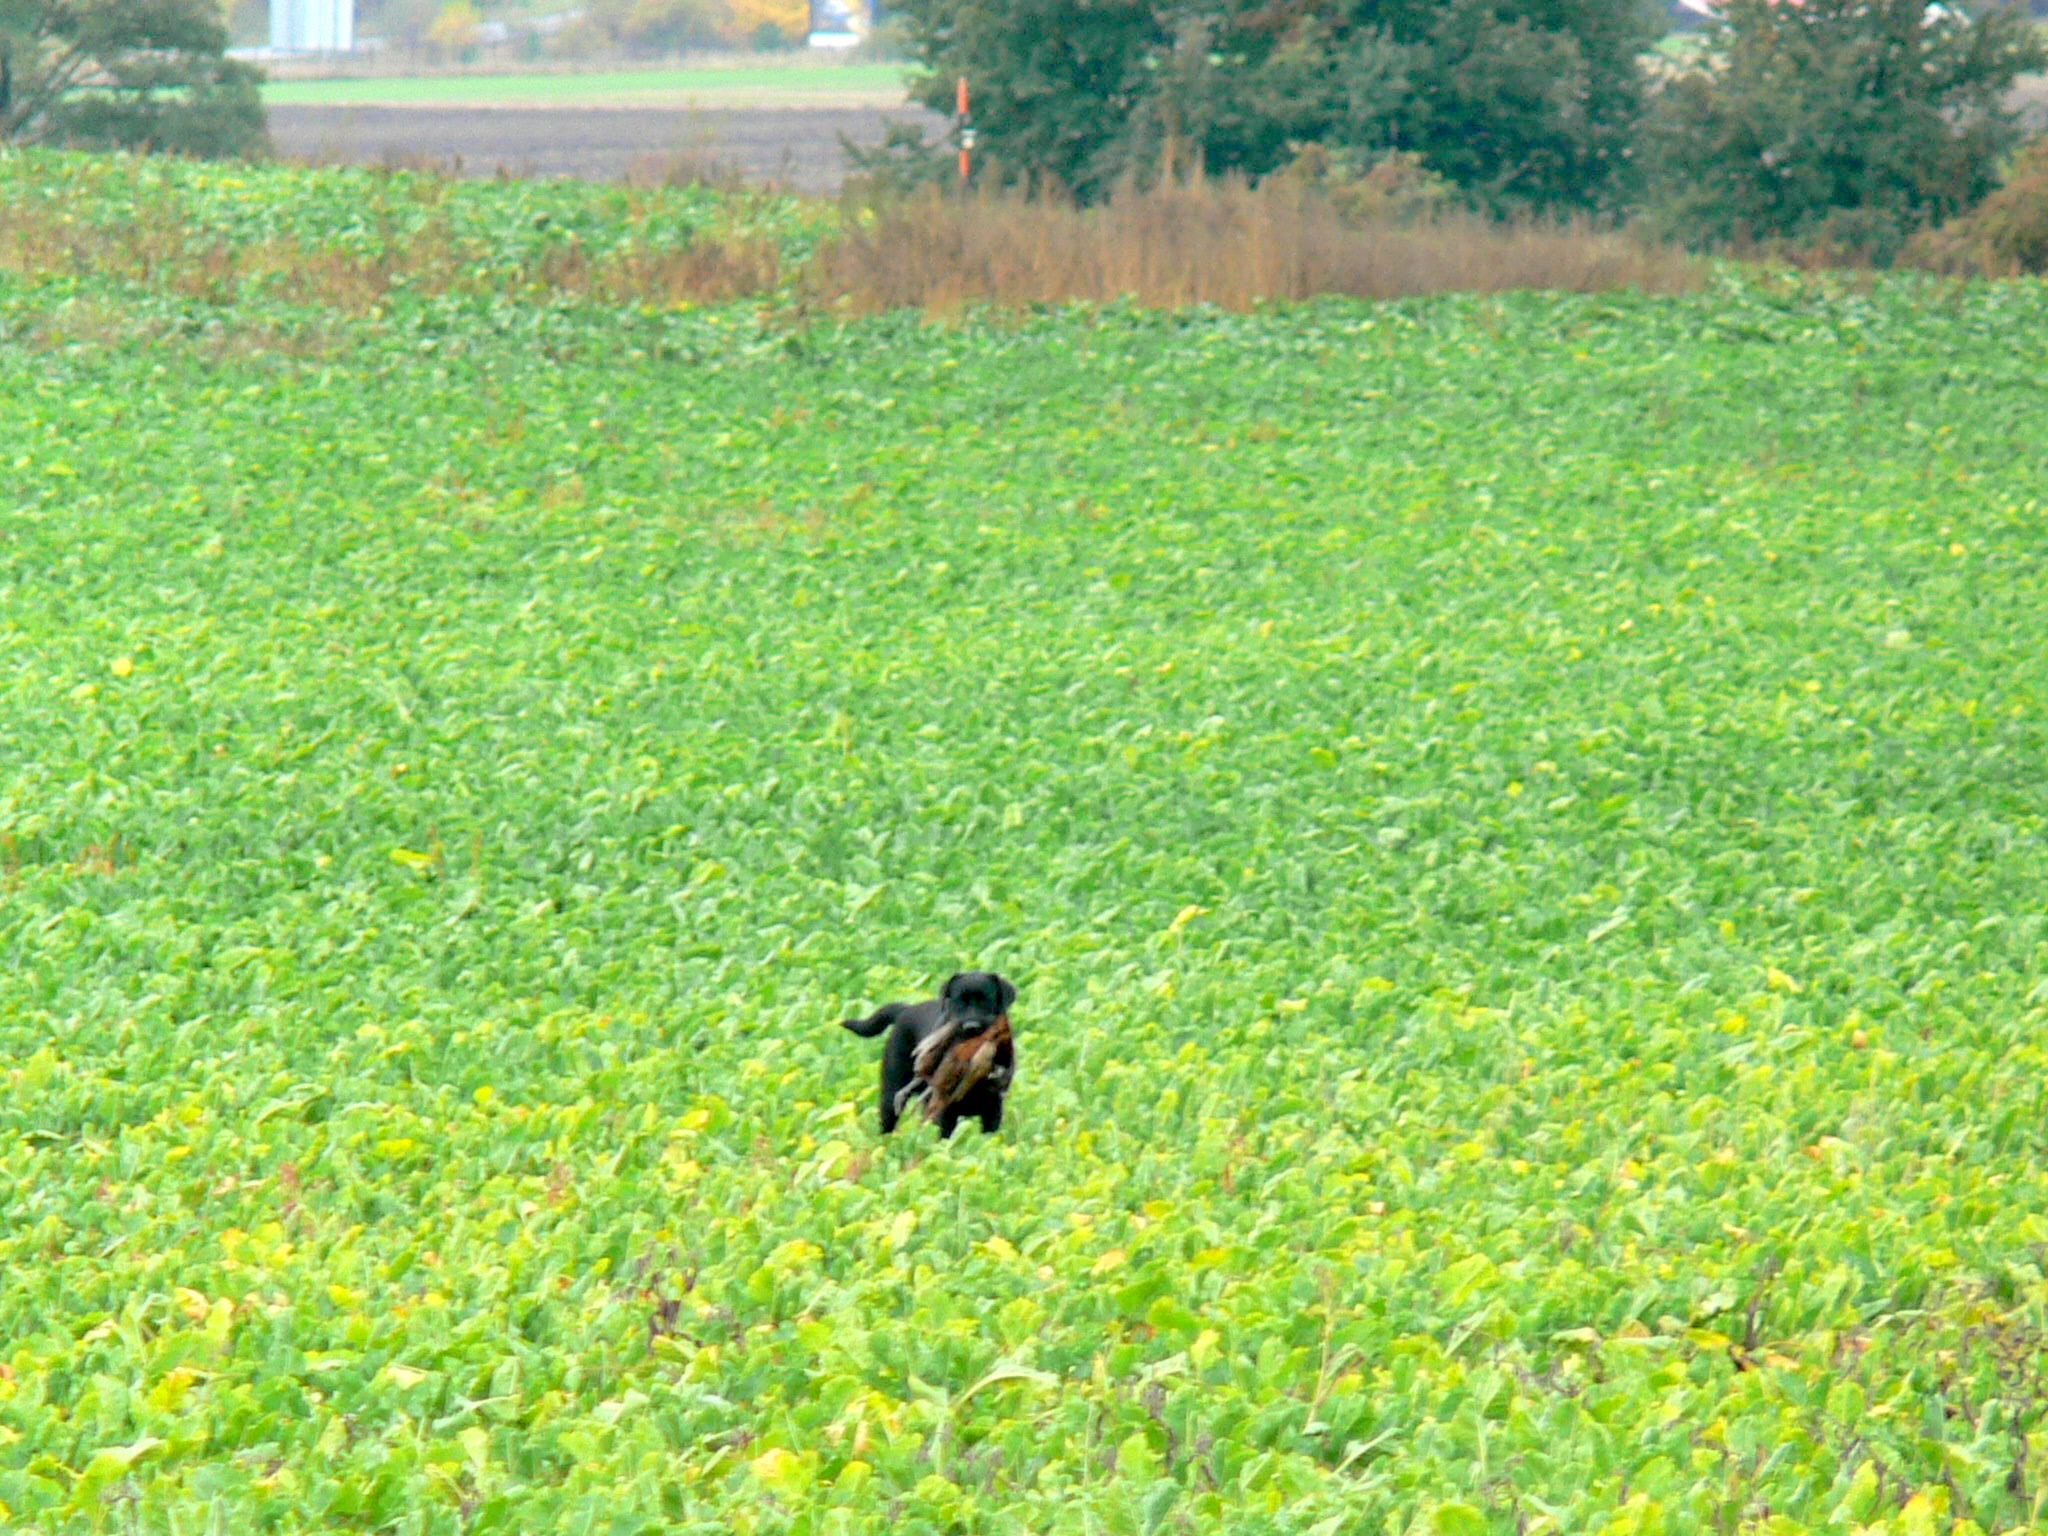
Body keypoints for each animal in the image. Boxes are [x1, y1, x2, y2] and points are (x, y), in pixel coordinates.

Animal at [839, 974, 1015, 1146]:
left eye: (986, 1000)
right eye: (959, 1001)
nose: (971, 1027)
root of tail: (906, 1009)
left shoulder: (993, 1107)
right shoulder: (944, 1109)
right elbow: (944, 1140)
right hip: (891, 1091)